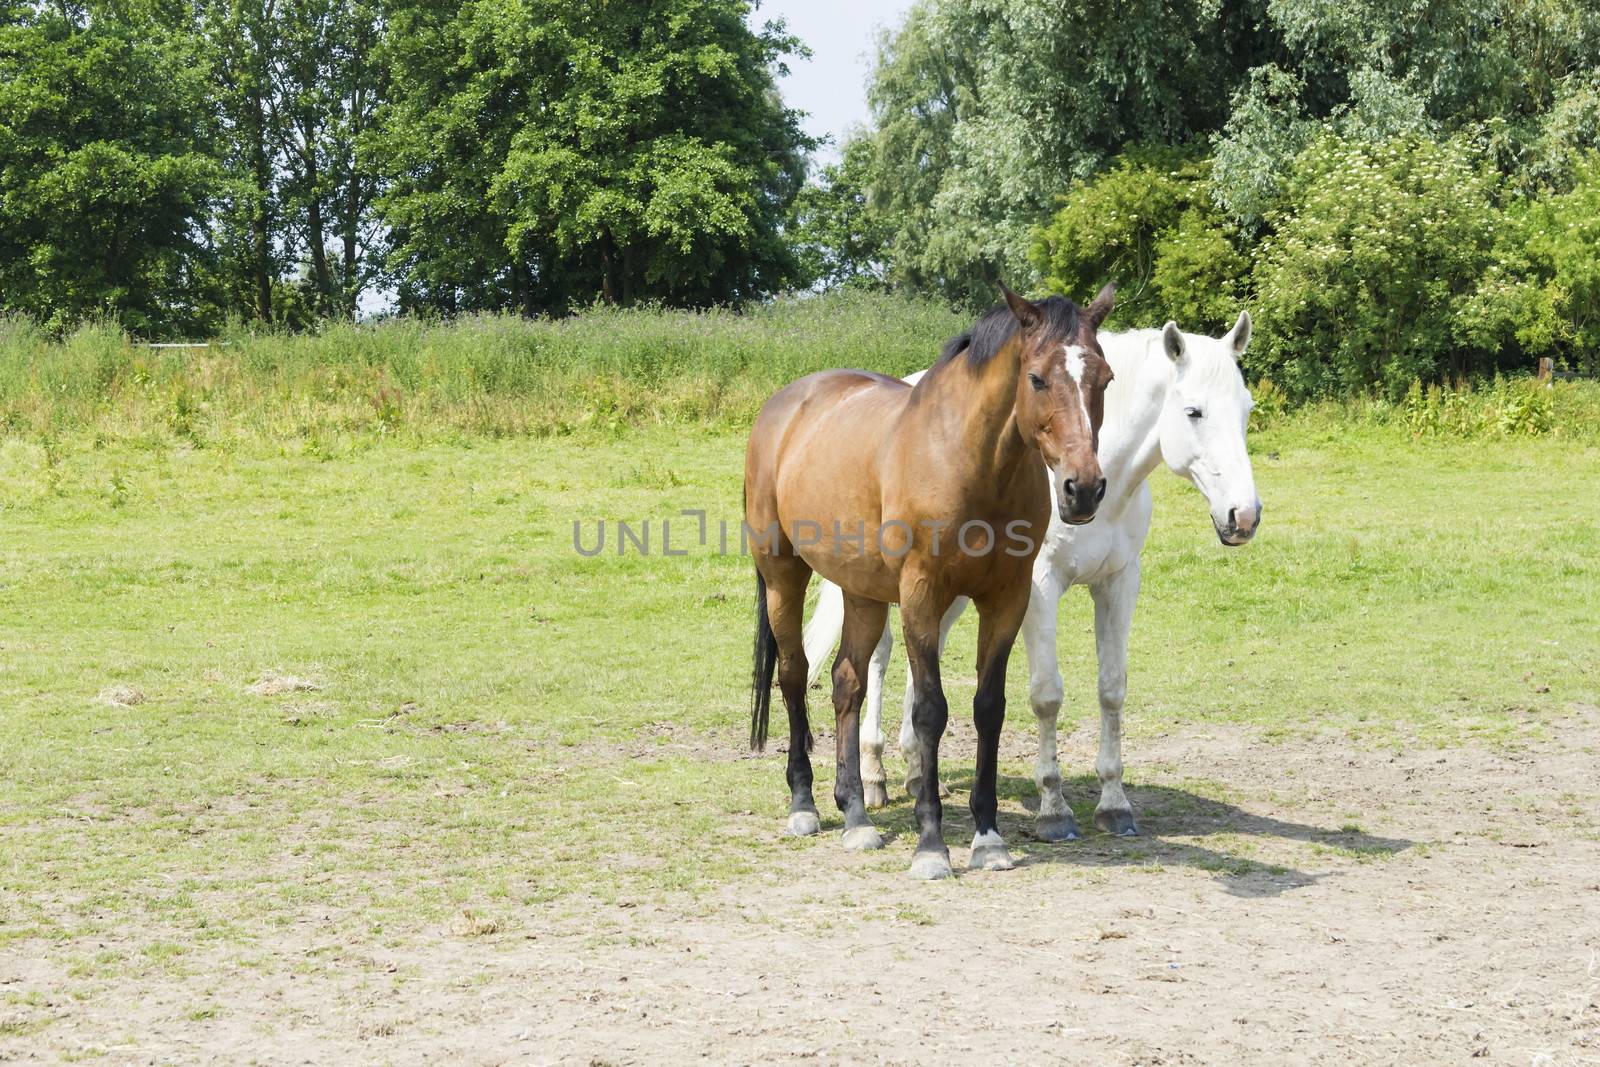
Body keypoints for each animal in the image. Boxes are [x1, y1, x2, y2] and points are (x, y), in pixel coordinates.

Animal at [739, 281, 1107, 876]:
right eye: (1037, 378)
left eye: (1105, 378)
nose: (1084, 489)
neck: (969, 462)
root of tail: (785, 405)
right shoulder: (921, 596)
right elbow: (930, 711)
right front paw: (932, 844)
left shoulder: (1006, 598)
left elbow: (989, 708)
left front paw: (988, 837)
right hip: (782, 576)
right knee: (794, 675)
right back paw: (804, 804)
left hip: (862, 592)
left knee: (846, 682)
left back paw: (856, 814)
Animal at [800, 316, 1260, 844]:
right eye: (1193, 411)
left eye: (1246, 408)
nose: (1244, 516)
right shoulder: (1038, 587)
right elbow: (1046, 695)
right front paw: (1054, 810)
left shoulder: (1119, 582)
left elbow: (1112, 688)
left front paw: (1114, 804)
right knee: (878, 657)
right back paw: (874, 777)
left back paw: (916, 771)